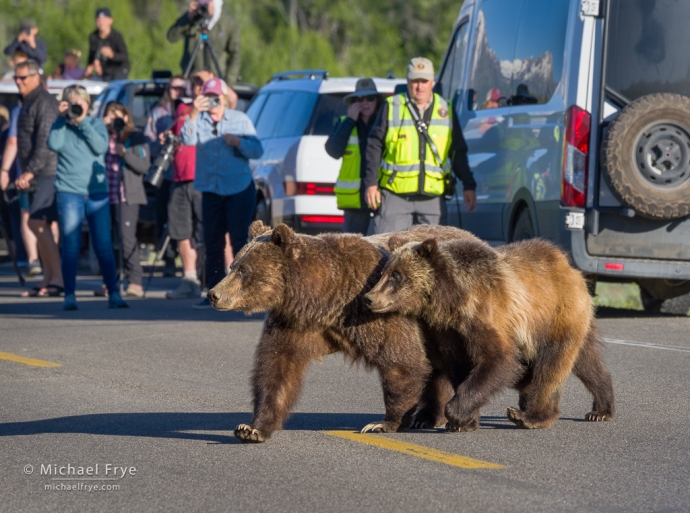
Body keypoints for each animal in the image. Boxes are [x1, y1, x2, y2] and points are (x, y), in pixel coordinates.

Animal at [207, 219, 476, 440]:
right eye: (232, 266)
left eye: (243, 270)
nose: (213, 294)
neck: (323, 296)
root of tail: (471, 235)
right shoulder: (296, 322)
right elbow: (276, 367)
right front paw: (251, 428)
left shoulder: (372, 306)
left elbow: (401, 360)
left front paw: (384, 423)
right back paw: (428, 416)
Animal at [362, 238, 616, 430]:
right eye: (384, 272)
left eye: (396, 275)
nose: (369, 298)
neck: (453, 302)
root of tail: (570, 268)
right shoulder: (449, 332)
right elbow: (459, 367)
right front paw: (465, 421)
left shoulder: (487, 313)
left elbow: (498, 358)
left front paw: (455, 414)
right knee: (587, 362)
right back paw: (601, 408)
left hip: (554, 316)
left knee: (552, 366)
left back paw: (531, 416)